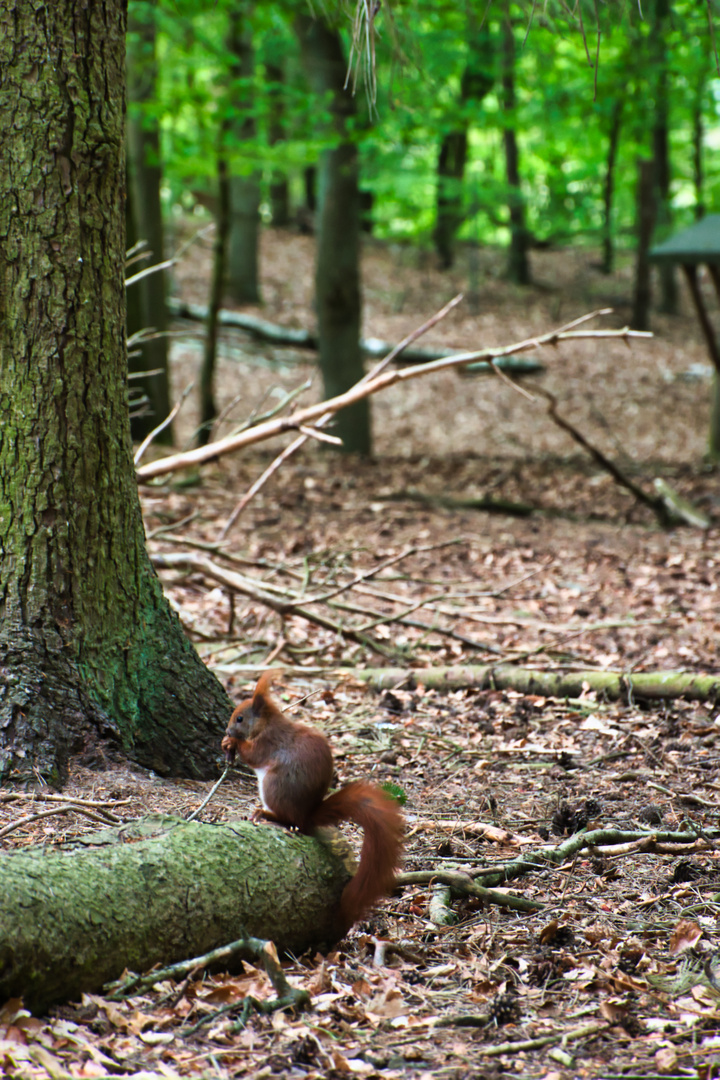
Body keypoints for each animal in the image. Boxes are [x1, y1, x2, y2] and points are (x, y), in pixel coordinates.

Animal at [221, 669, 399, 933]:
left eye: (240, 718)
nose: (227, 731)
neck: (266, 724)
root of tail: (307, 815)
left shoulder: (268, 742)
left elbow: (253, 755)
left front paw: (232, 744)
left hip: (273, 786)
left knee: (289, 819)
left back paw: (267, 815)